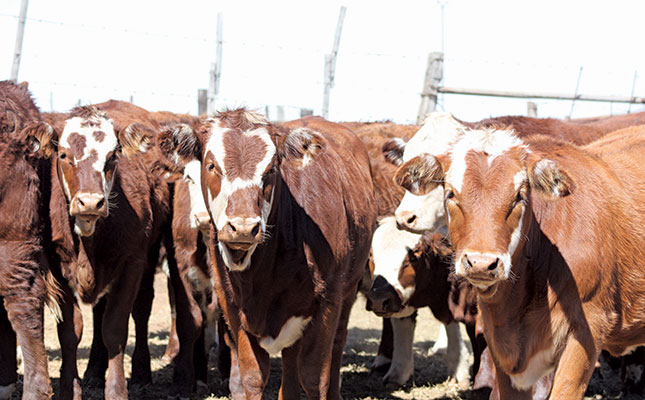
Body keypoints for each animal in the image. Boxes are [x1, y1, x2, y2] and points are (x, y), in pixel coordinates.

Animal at [157, 109, 378, 400]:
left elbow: (313, 377)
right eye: (211, 165)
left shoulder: (328, 302)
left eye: (272, 169)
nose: (242, 226)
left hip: (348, 290)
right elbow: (252, 376)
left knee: (336, 345)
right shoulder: (231, 304)